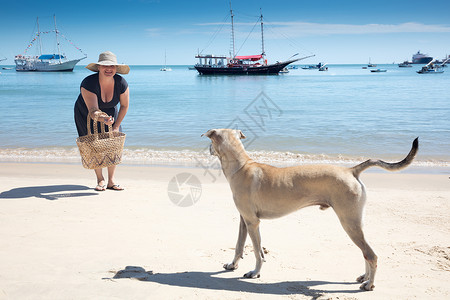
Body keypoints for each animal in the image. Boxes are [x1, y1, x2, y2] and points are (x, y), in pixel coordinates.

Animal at [202, 128, 416, 290]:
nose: (208, 149)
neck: (241, 166)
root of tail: (351, 170)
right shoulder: (244, 220)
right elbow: (239, 246)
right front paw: (233, 265)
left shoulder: (253, 223)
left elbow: (257, 251)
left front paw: (255, 272)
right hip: (356, 222)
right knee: (365, 252)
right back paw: (364, 277)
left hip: (349, 223)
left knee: (371, 254)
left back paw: (369, 284)